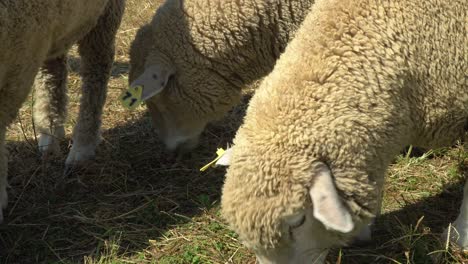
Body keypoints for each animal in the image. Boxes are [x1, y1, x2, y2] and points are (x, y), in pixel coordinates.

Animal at [0, 0, 125, 223]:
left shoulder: (17, 70)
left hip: (104, 15)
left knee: (97, 67)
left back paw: (81, 148)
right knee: (53, 69)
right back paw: (49, 134)